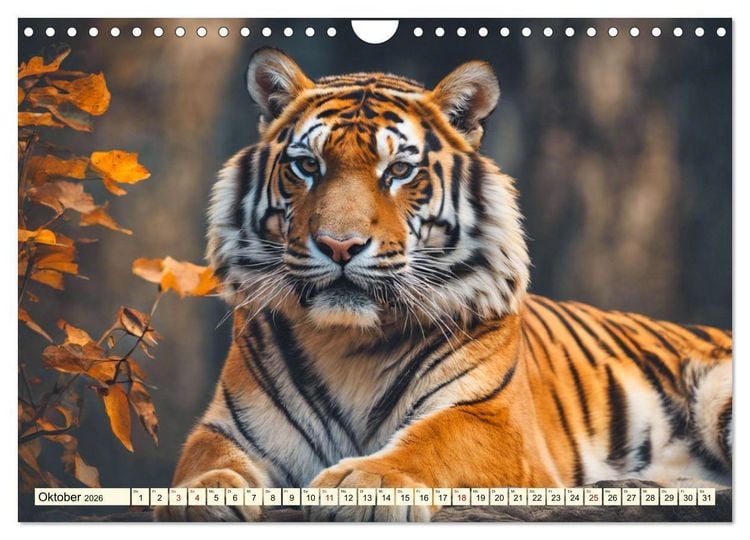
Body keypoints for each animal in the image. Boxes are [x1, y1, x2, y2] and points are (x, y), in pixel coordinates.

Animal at [155, 47, 732, 522]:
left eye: (398, 171)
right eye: (306, 165)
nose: (339, 245)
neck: (348, 344)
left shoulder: (493, 419)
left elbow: (436, 438)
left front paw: (366, 481)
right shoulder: (227, 426)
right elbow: (204, 457)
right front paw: (202, 496)